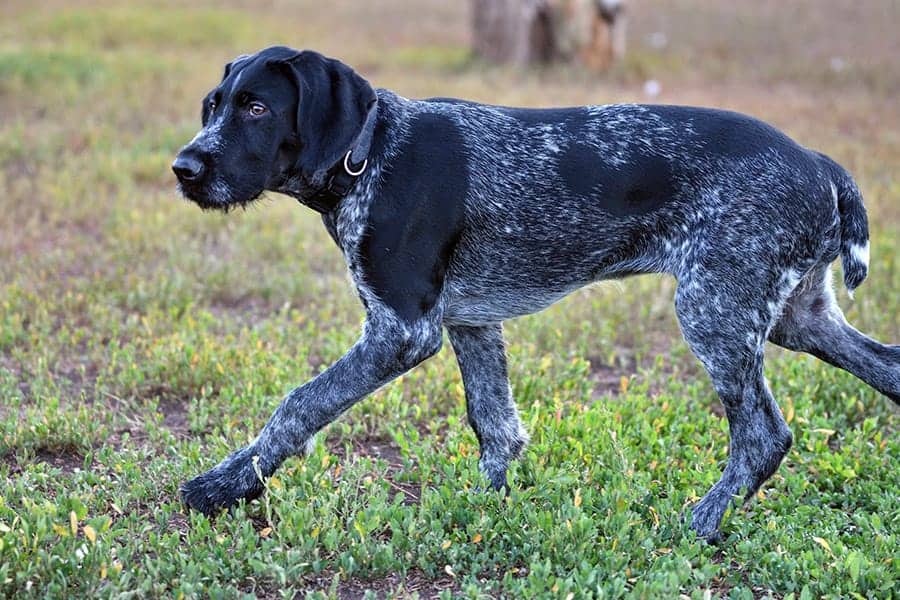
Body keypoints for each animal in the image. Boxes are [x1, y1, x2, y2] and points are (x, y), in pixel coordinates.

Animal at [172, 47, 896, 540]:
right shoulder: (468, 323)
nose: (183, 169)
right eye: (212, 106)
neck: (369, 155)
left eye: (257, 108)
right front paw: (480, 510)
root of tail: (815, 161)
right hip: (796, 318)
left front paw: (224, 486)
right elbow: (495, 426)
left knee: (764, 435)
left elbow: (298, 405)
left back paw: (698, 523)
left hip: (715, 309)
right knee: (887, 366)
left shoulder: (401, 331)